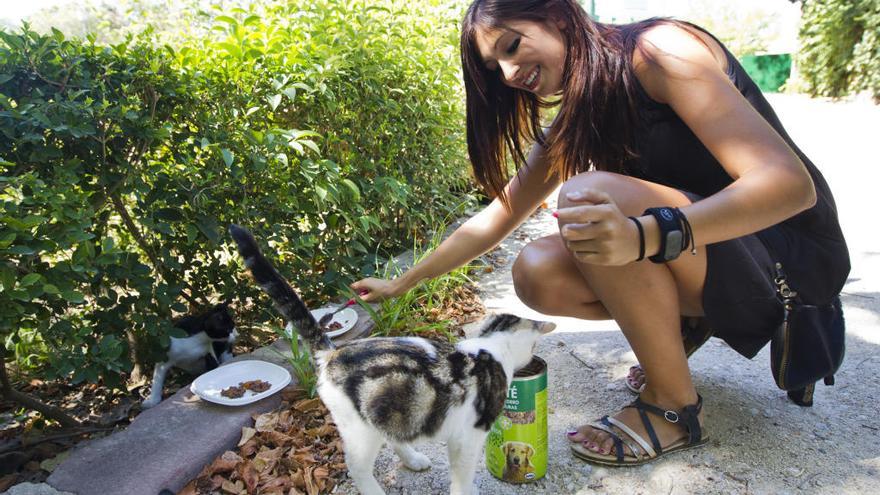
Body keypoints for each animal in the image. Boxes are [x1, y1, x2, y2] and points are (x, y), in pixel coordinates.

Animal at [229, 226, 556, 495]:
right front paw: (468, 490)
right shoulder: (469, 437)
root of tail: (333, 351)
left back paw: (412, 459)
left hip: (391, 408)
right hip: (362, 427)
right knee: (357, 466)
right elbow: (462, 478)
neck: (489, 346)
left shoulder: (456, 435)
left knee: (395, 433)